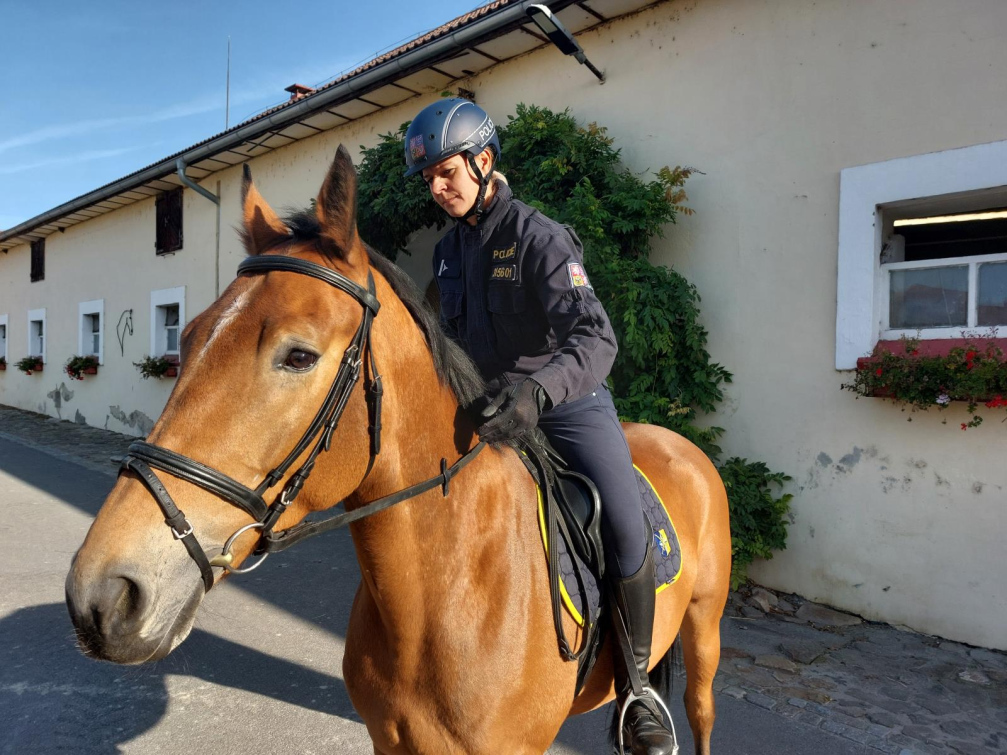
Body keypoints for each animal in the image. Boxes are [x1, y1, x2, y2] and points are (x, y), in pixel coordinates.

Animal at [64, 147, 733, 755]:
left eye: (298, 355)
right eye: (189, 335)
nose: (103, 596)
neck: (448, 597)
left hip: (703, 628)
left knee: (701, 711)